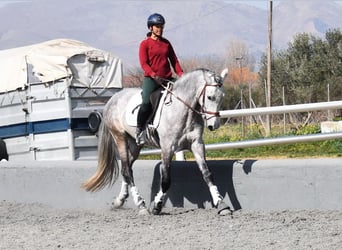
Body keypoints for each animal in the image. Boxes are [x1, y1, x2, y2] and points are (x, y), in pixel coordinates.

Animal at [82, 68, 231, 215]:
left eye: (222, 97)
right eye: (210, 97)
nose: (214, 125)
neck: (183, 110)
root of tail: (113, 99)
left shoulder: (197, 144)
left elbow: (207, 174)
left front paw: (221, 204)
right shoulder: (167, 147)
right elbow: (165, 180)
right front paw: (156, 206)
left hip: (135, 145)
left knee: (126, 168)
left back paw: (119, 201)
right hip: (120, 138)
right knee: (127, 170)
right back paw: (140, 204)